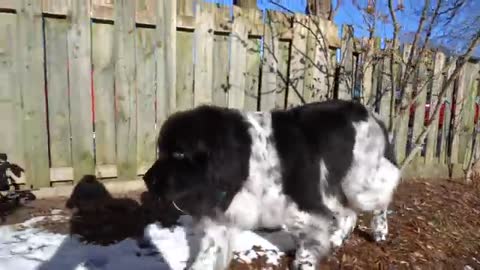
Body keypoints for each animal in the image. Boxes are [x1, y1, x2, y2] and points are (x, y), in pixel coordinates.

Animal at [143, 100, 402, 270]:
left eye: (178, 154)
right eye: (161, 151)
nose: (146, 179)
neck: (245, 159)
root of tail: (370, 112)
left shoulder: (305, 209)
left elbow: (309, 245)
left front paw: (304, 262)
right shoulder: (223, 219)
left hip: (360, 184)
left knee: (382, 195)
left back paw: (380, 231)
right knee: (348, 213)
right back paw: (337, 238)